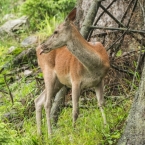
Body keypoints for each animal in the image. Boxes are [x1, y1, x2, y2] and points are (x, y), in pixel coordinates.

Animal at [34, 8, 110, 136]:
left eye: (55, 31)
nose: (44, 46)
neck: (94, 67)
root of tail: (36, 49)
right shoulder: (75, 80)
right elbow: (75, 111)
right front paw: (74, 133)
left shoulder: (100, 80)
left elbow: (101, 104)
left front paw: (106, 127)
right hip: (47, 72)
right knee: (47, 103)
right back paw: (50, 134)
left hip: (59, 82)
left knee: (38, 100)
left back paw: (39, 135)